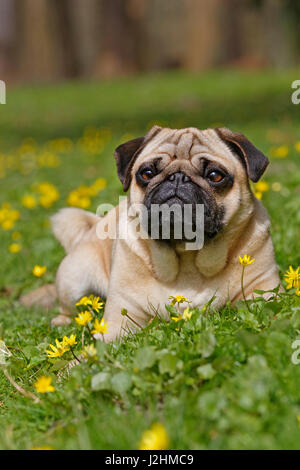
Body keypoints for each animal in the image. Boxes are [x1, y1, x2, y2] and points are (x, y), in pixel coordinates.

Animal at [49, 126, 282, 342]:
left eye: (215, 176)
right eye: (147, 174)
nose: (177, 177)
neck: (187, 260)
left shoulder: (262, 290)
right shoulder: (120, 318)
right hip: (74, 278)